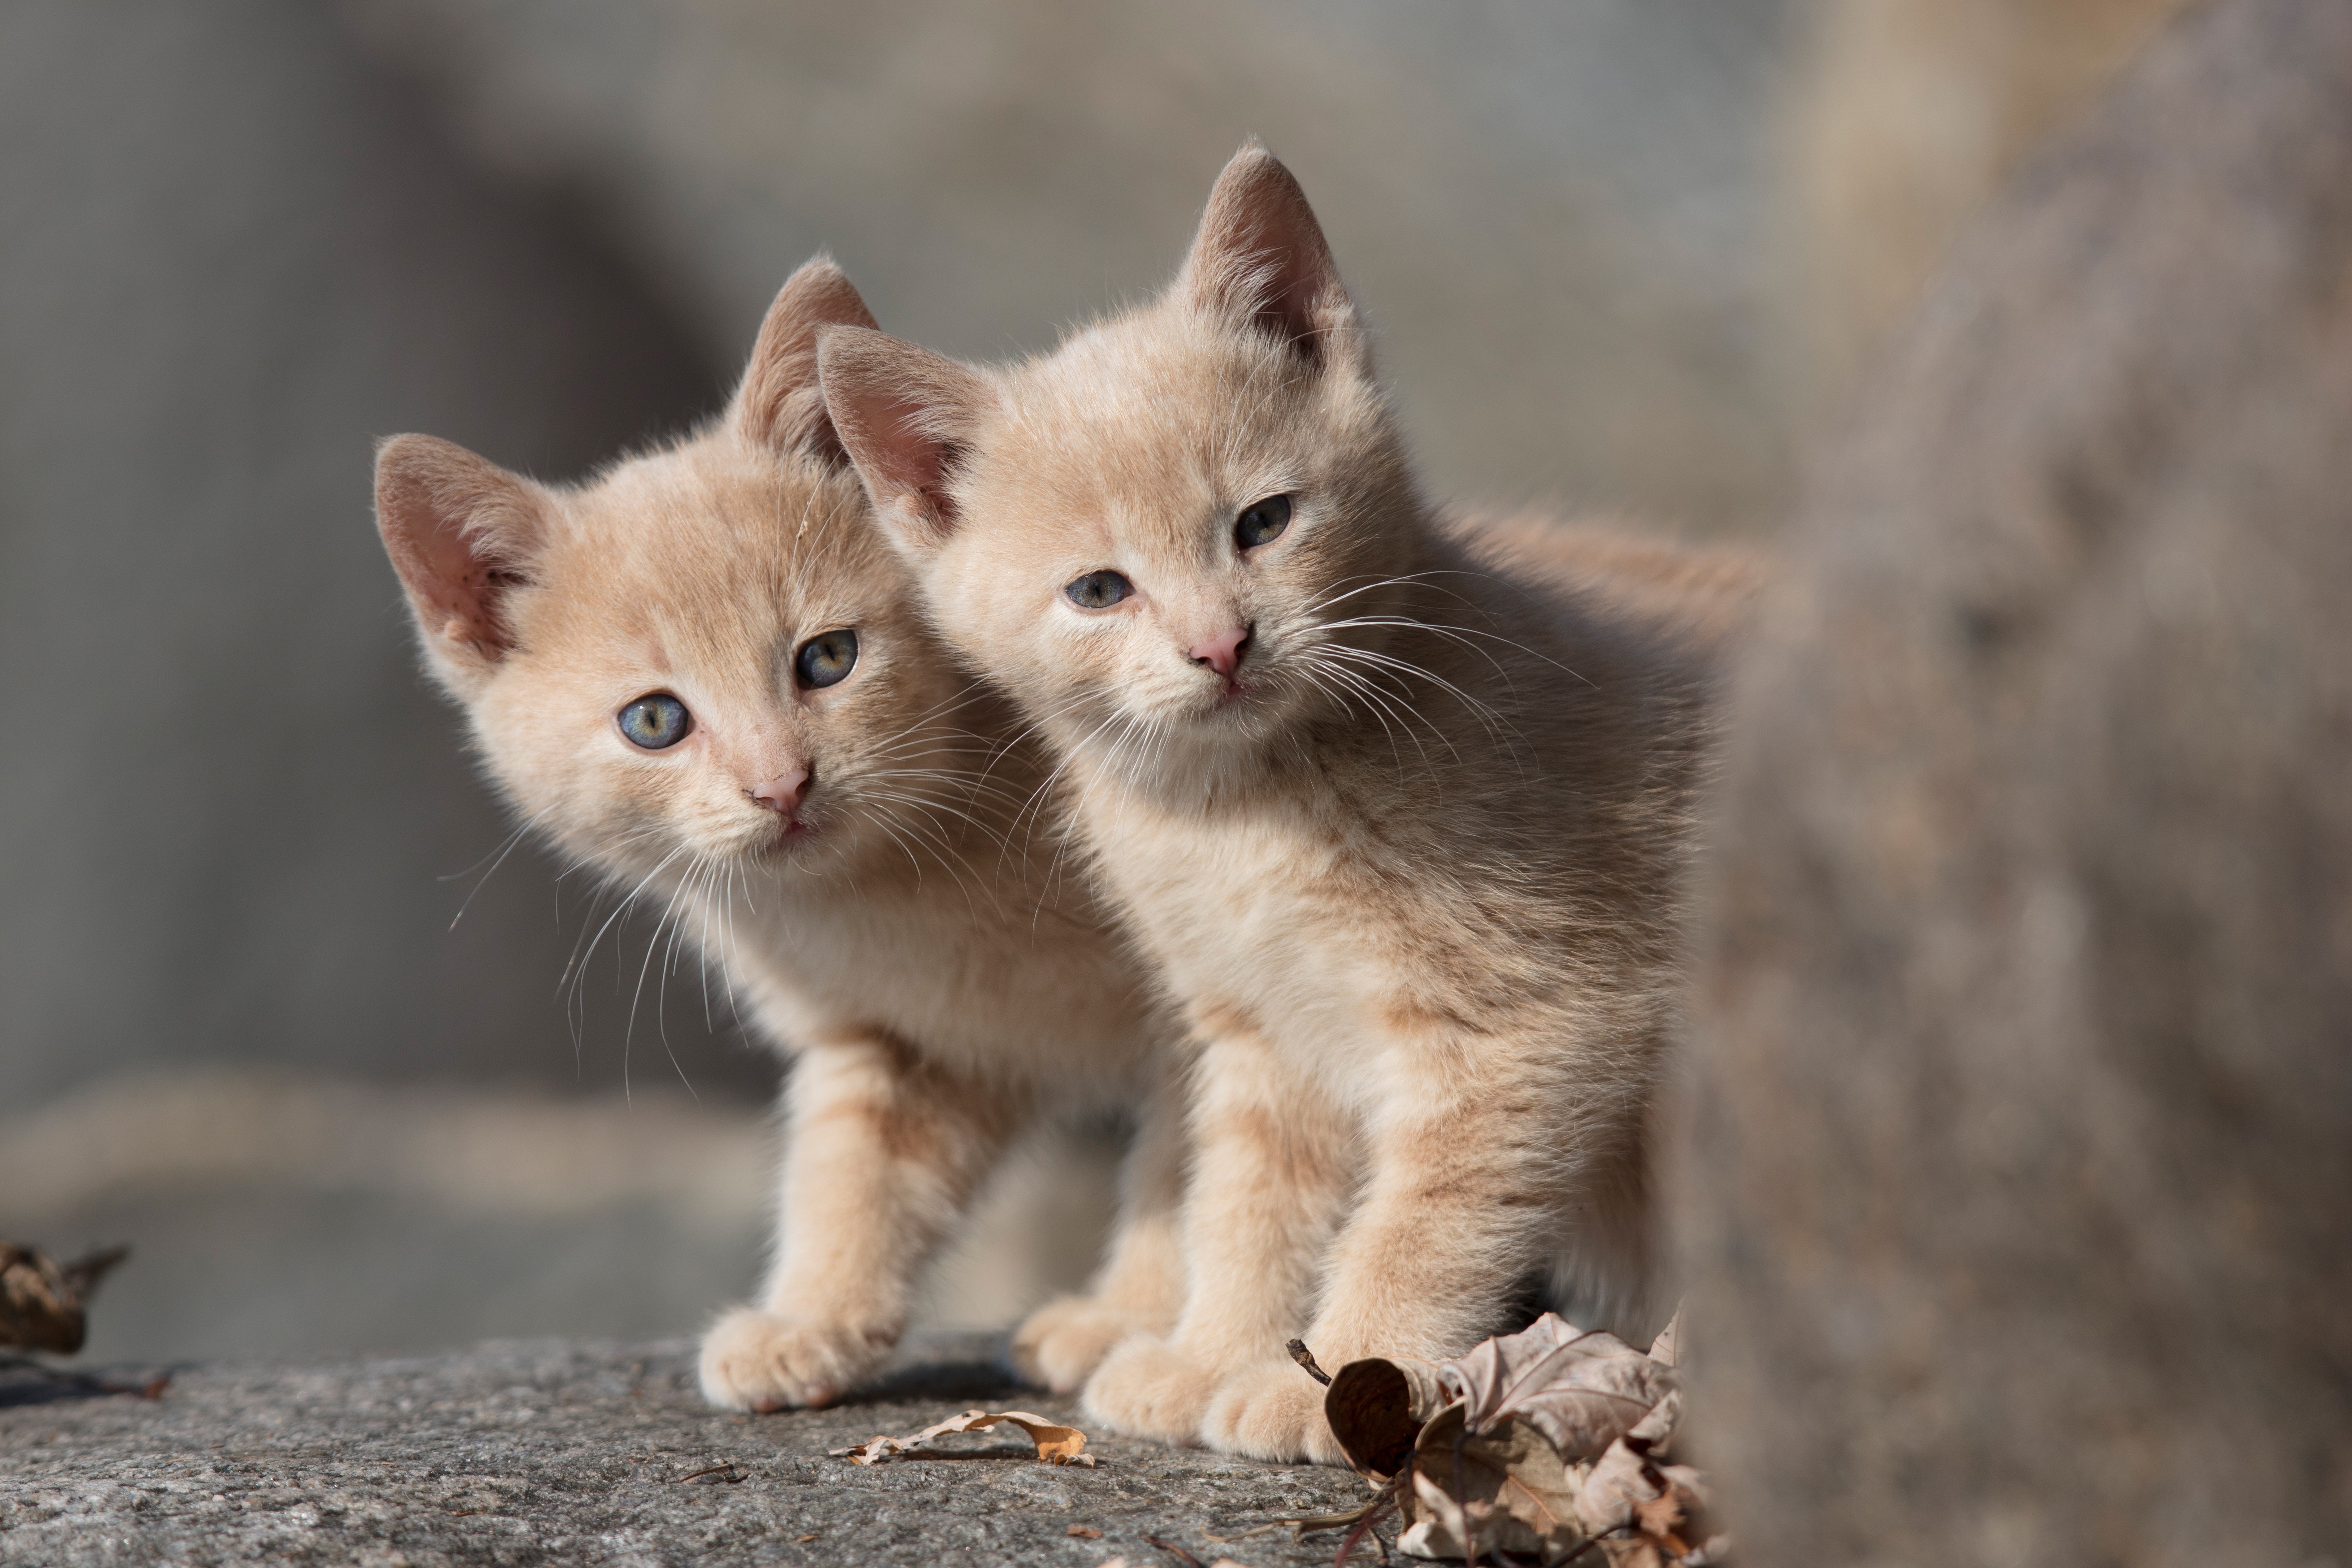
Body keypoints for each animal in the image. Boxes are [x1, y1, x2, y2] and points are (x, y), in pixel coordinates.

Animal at [376, 255, 1195, 1410]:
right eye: (655, 722)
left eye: (827, 659)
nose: (781, 784)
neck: (904, 892)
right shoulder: (892, 1040)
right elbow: (855, 1173)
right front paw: (812, 1319)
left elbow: (1200, 1158)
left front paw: (1135, 1322)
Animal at [828, 141, 1731, 1467]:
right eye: (1099, 591)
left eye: (1264, 523)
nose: (1220, 645)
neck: (1247, 810)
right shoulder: (1257, 1033)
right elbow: (1246, 1203)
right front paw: (1214, 1354)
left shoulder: (1532, 1021)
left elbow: (1422, 1216)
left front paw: (1344, 1384)